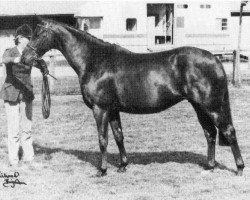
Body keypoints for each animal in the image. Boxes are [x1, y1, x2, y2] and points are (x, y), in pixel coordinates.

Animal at [21, 18, 244, 176]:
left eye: (39, 34)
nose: (24, 58)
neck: (95, 60)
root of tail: (215, 59)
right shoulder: (112, 110)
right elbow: (118, 136)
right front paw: (122, 166)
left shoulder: (100, 109)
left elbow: (103, 139)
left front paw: (102, 170)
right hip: (199, 107)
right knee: (210, 134)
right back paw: (210, 167)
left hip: (212, 107)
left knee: (229, 132)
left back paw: (239, 168)